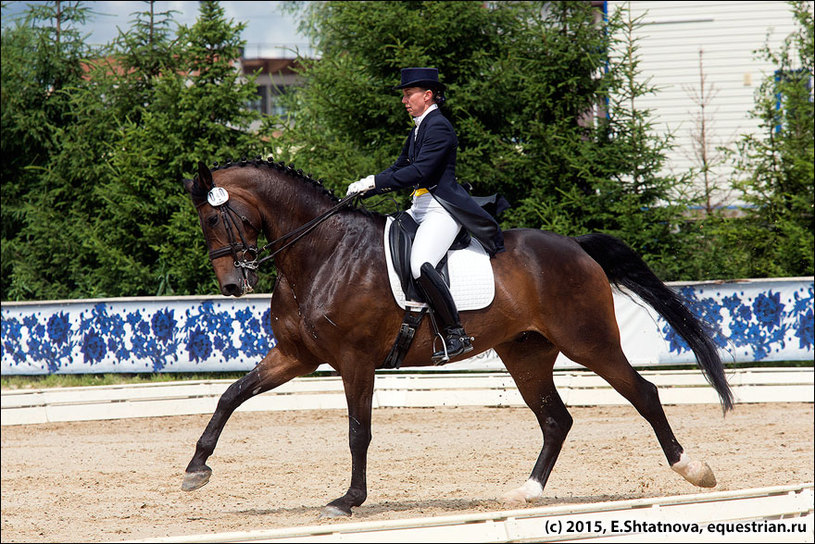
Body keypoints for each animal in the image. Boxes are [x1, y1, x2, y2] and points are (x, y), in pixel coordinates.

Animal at [178, 158, 732, 520]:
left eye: (214, 218)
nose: (233, 286)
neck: (322, 252)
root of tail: (575, 246)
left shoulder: (355, 361)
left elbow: (358, 432)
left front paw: (348, 501)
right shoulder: (296, 356)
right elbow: (230, 396)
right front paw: (196, 469)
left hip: (589, 342)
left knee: (644, 394)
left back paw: (694, 470)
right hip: (526, 354)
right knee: (556, 419)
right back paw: (525, 493)